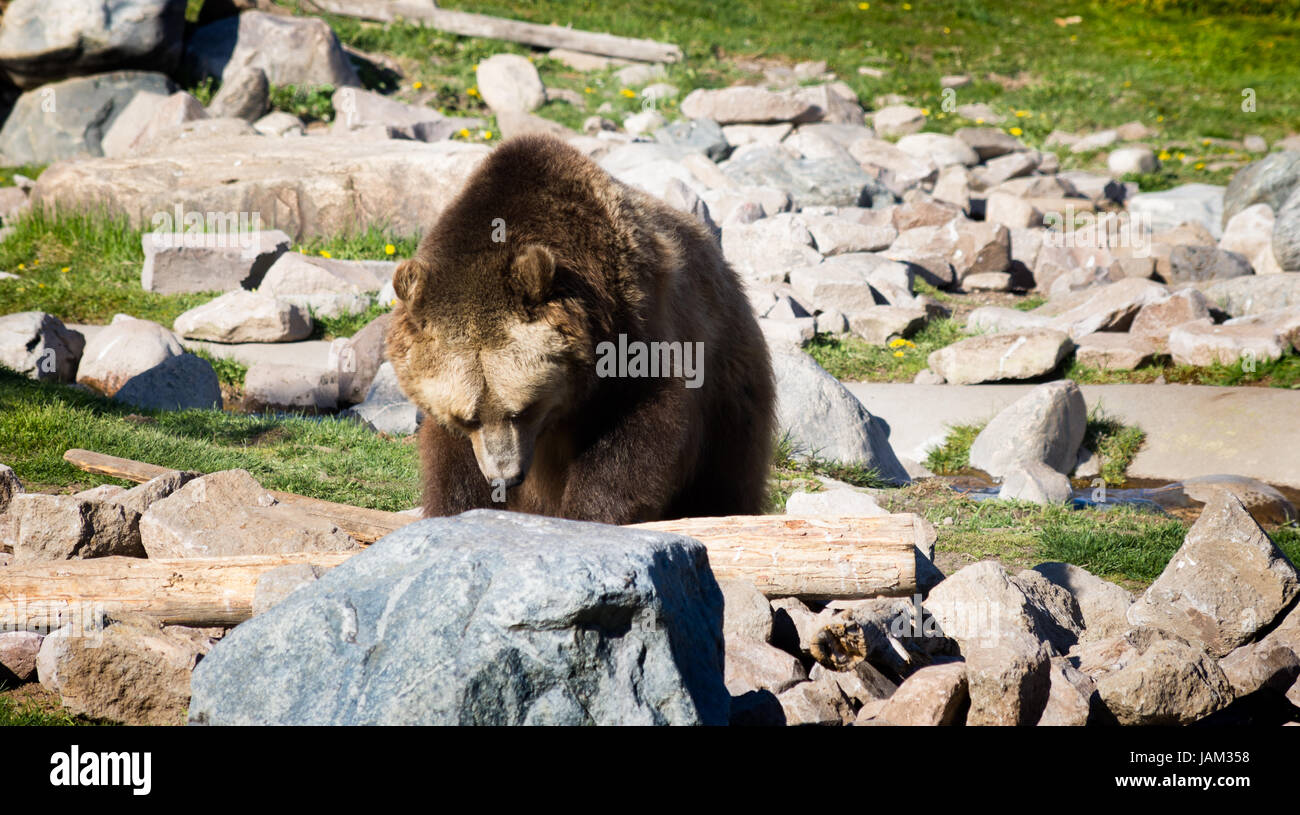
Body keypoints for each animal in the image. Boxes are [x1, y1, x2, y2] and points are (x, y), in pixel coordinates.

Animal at [384, 133, 769, 522]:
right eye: (468, 418)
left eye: (523, 410)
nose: (505, 476)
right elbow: (453, 463)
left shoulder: (637, 331)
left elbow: (638, 433)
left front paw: (589, 513)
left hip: (726, 381)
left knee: (724, 471)